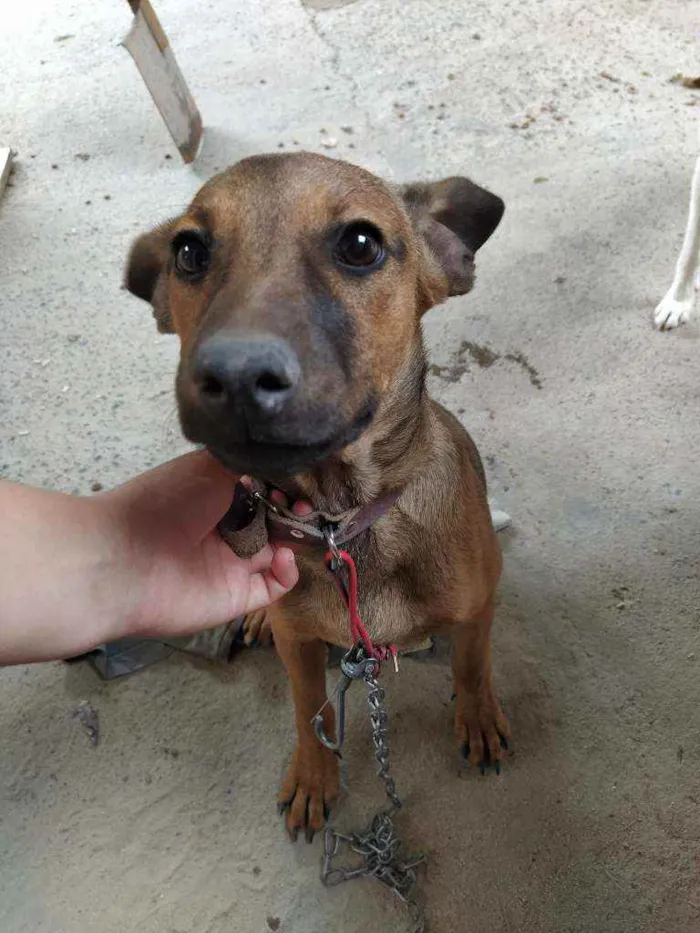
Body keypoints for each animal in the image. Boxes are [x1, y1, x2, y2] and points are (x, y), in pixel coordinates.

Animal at [126, 151, 508, 836]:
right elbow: (311, 711)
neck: (343, 522)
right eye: (188, 252)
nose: (235, 377)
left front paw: (479, 719)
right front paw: (313, 776)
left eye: (360, 244)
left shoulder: (477, 608)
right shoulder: (300, 646)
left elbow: (472, 666)